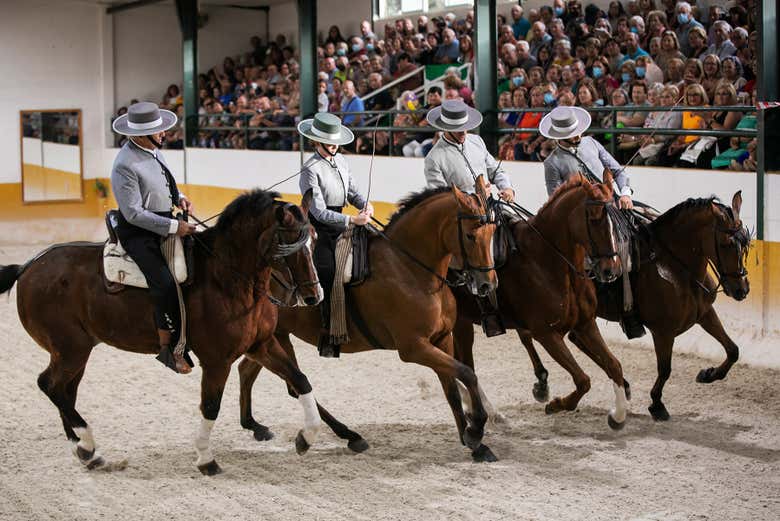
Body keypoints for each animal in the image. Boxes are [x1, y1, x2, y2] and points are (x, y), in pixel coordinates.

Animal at [0, 189, 324, 474]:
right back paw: (88, 443)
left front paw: (306, 438)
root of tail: (28, 266)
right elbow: (211, 406)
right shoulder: (217, 361)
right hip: (70, 348)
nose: (313, 296)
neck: (227, 278)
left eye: (314, 240)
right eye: (289, 243)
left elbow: (300, 380)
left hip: (77, 351)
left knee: (65, 391)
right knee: (51, 385)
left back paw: (86, 451)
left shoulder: (261, 345)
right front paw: (206, 459)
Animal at [238, 184, 500, 464]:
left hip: (270, 337)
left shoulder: (442, 339)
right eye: (471, 235)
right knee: (293, 385)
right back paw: (345, 435)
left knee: (252, 372)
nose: (487, 284)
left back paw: (256, 426)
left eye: (492, 232)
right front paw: (476, 430)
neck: (409, 269)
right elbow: (467, 373)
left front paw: (474, 443)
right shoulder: (414, 348)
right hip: (276, 337)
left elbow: (451, 387)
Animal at [450, 174, 632, 426]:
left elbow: (614, 365)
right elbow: (583, 380)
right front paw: (557, 404)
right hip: (459, 322)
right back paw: (486, 410)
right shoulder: (546, 334)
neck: (547, 261)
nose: (611, 270)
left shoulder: (585, 324)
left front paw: (618, 416)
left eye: (615, 218)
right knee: (464, 364)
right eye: (594, 219)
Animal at [516, 191, 748, 422]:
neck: (676, 268)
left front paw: (708, 374)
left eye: (745, 244)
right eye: (726, 243)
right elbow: (665, 369)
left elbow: (733, 350)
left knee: (575, 341)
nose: (741, 289)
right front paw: (656, 404)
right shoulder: (663, 331)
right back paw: (542, 382)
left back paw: (622, 384)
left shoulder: (705, 313)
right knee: (530, 336)